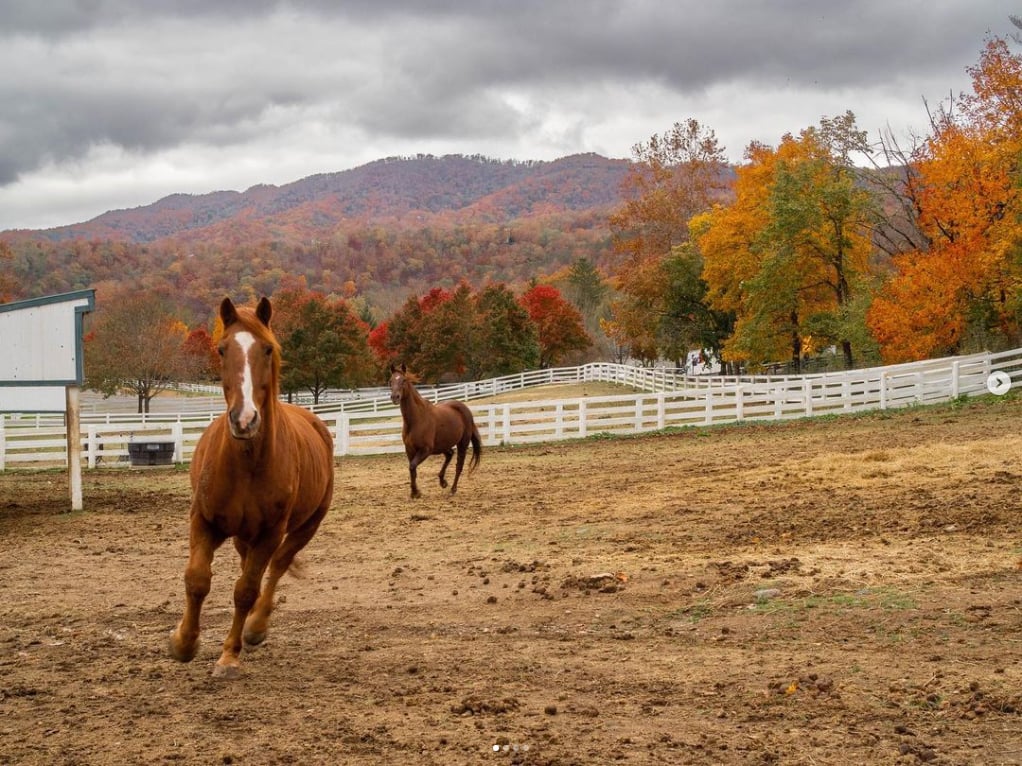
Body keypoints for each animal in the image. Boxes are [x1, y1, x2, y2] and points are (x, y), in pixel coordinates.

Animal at [169, 296, 333, 682]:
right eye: (221, 349)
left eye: (268, 349)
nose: (244, 420)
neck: (246, 463)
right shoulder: (204, 522)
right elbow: (197, 579)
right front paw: (183, 642)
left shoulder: (270, 534)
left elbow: (245, 590)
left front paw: (229, 655)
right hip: (243, 535)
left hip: (305, 526)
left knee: (276, 568)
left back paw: (256, 626)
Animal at [386, 367, 482, 504]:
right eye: (390, 381)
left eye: (403, 380)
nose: (395, 397)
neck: (417, 419)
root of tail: (465, 409)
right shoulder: (409, 450)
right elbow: (412, 470)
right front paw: (415, 493)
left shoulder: (426, 450)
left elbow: (412, 466)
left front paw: (415, 492)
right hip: (442, 445)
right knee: (450, 454)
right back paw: (443, 482)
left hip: (462, 443)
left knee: (459, 465)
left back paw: (452, 489)